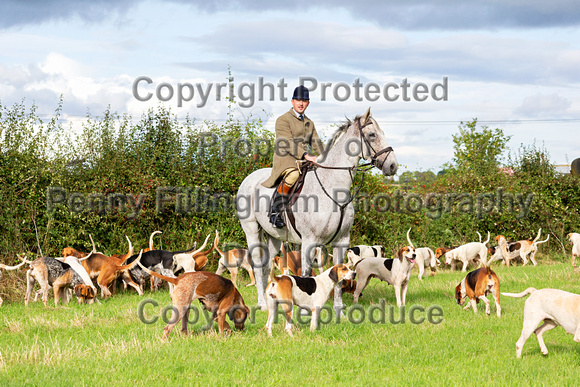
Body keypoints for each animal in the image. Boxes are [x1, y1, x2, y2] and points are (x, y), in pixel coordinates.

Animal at [237, 107, 398, 314]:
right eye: (372, 135)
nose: (392, 165)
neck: (334, 190)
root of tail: (249, 178)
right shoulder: (309, 240)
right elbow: (306, 274)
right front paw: (305, 310)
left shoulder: (342, 240)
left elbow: (340, 273)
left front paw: (339, 310)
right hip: (251, 230)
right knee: (257, 266)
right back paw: (263, 305)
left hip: (274, 237)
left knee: (266, 267)